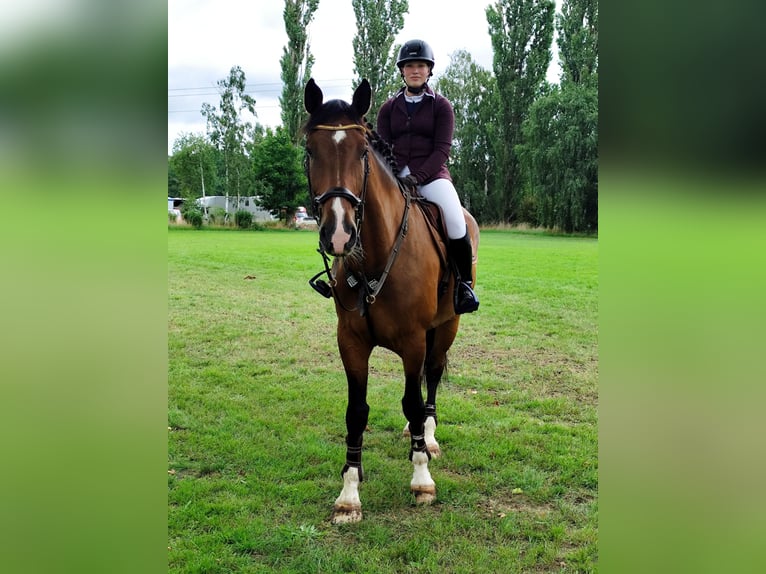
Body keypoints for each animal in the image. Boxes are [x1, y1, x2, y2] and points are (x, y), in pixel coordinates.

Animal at [303, 78, 479, 524]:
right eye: (311, 151)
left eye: (362, 152)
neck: (377, 255)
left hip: (446, 326)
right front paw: (349, 491)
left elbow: (413, 402)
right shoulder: (350, 342)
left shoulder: (414, 341)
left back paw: (427, 440)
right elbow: (356, 411)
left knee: (431, 379)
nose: (339, 234)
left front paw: (421, 479)